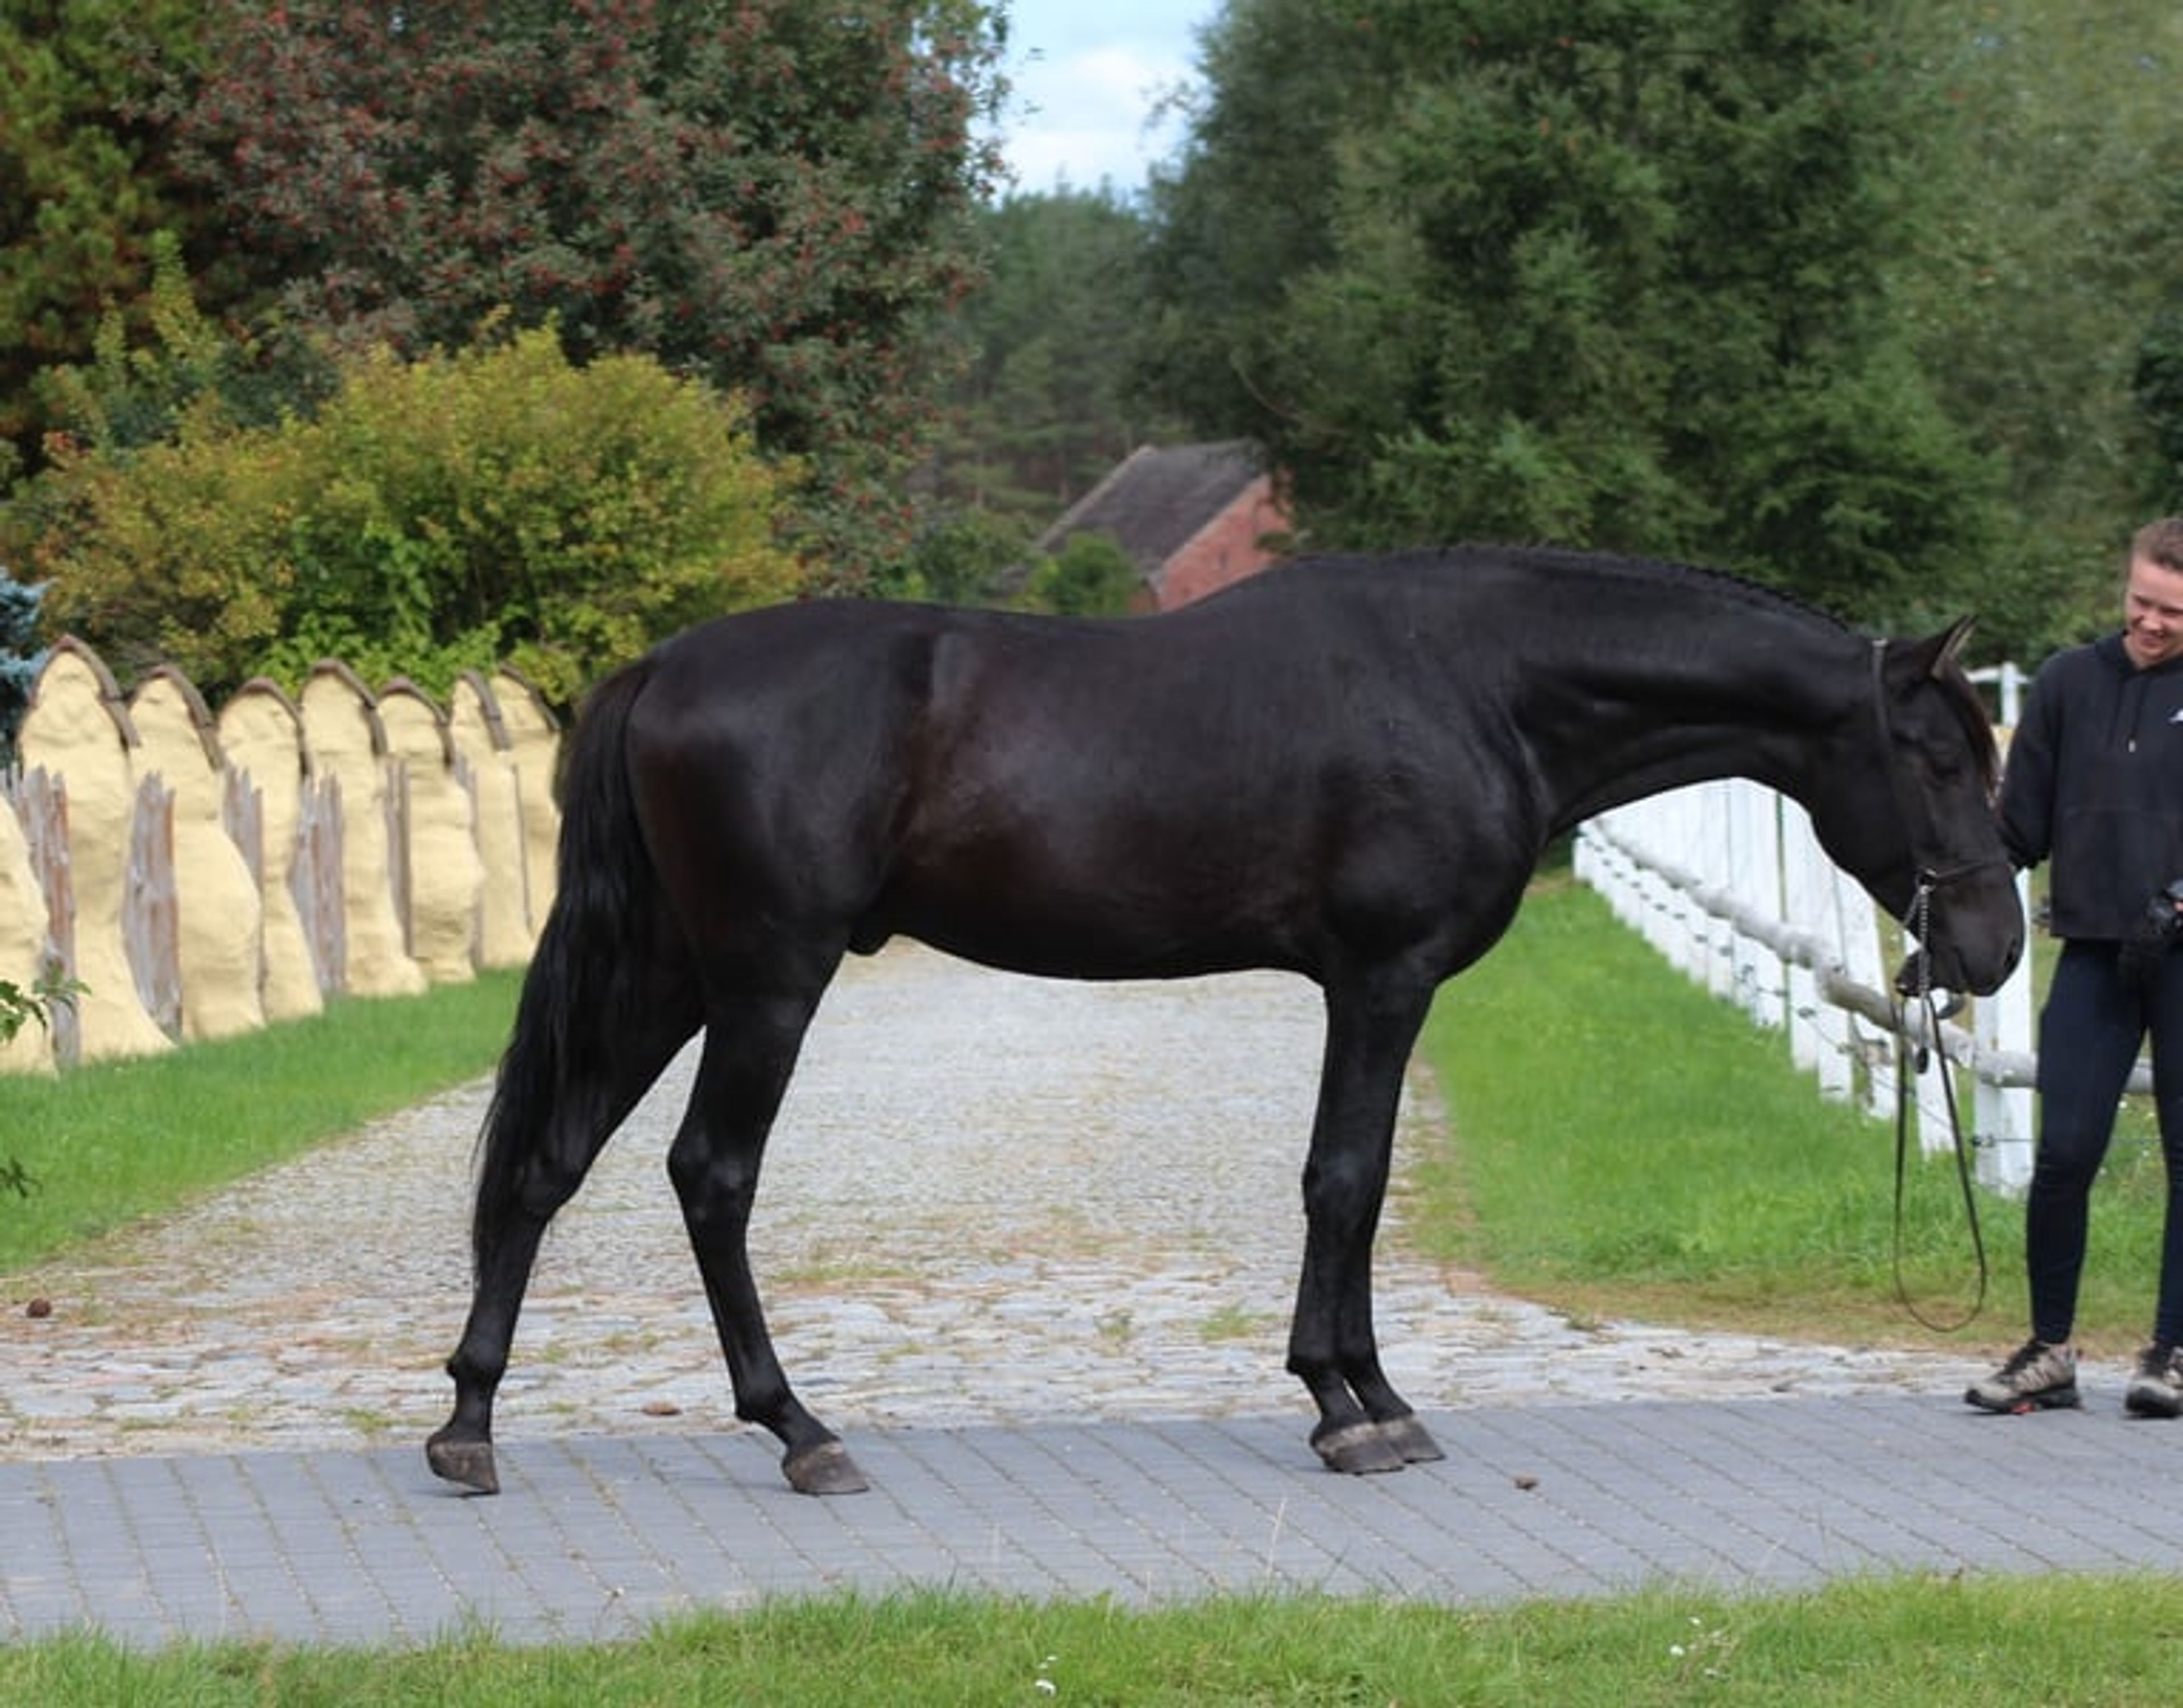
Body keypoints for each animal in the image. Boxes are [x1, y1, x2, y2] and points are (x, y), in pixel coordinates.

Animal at [426, 544, 2024, 1498]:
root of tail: (663, 668)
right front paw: (1352, 1405)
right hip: (765, 979)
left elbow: (1347, 1184)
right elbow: (1346, 1181)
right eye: (1939, 756)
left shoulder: (1362, 989)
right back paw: (799, 1431)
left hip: (670, 972)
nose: (1994, 949)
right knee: (711, 1176)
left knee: (547, 1163)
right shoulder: (1383, 980)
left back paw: (467, 1424)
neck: (1476, 682)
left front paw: (1361, 1389)